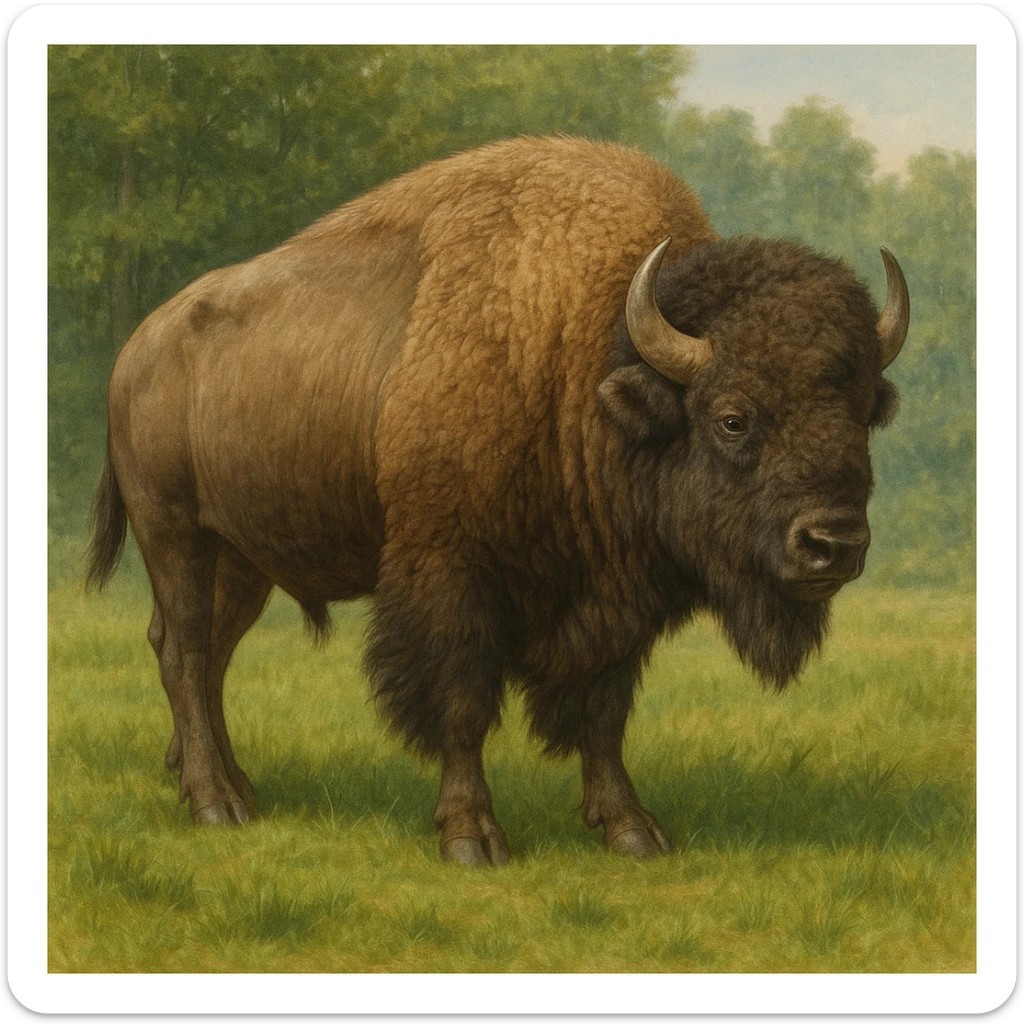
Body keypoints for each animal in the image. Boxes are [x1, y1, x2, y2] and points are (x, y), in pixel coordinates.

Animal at [87, 136, 909, 865]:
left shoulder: (617, 601)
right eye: (733, 417)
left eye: (866, 411)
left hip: (243, 557)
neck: (587, 360)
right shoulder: (449, 574)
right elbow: (463, 703)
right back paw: (214, 804)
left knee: (208, 652)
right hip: (174, 534)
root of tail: (137, 347)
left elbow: (603, 711)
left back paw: (230, 785)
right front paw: (471, 839)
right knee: (186, 649)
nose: (834, 544)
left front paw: (632, 830)